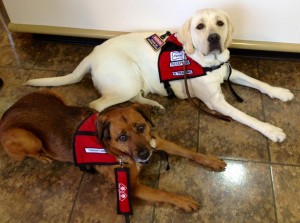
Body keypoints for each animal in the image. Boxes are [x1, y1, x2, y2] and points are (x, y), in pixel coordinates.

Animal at [0, 91, 225, 213]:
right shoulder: (132, 187)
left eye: (141, 127)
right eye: (122, 137)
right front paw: (183, 200)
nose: (145, 155)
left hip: (54, 95)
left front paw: (210, 160)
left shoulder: (156, 141)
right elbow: (162, 192)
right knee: (29, 153)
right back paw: (44, 157)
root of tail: (6, 114)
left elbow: (188, 151)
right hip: (27, 137)